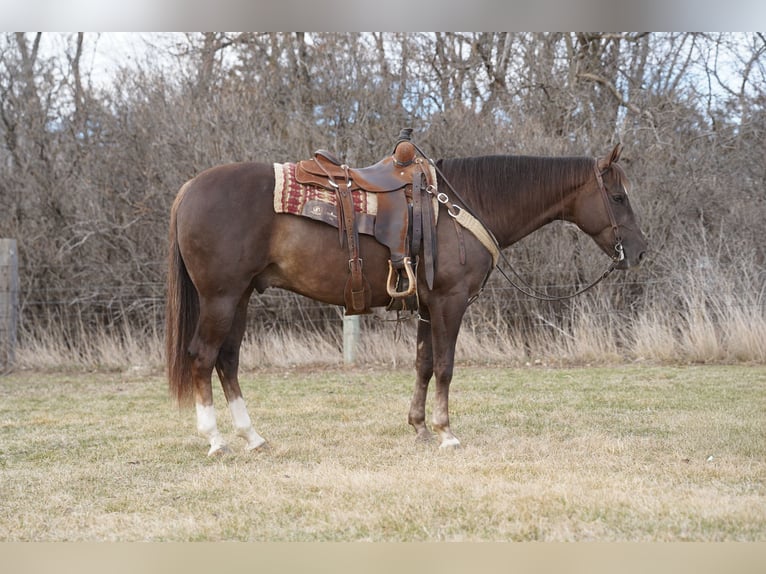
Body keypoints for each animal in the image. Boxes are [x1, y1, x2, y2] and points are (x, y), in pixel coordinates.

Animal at [166, 142, 648, 455]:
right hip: (221, 297)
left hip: (242, 297)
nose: (640, 251)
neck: (458, 206)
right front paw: (446, 432)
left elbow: (424, 364)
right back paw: (216, 440)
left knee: (228, 360)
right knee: (202, 357)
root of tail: (188, 188)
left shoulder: (426, 307)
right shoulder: (450, 302)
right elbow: (446, 366)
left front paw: (418, 427)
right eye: (618, 196)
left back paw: (253, 437)